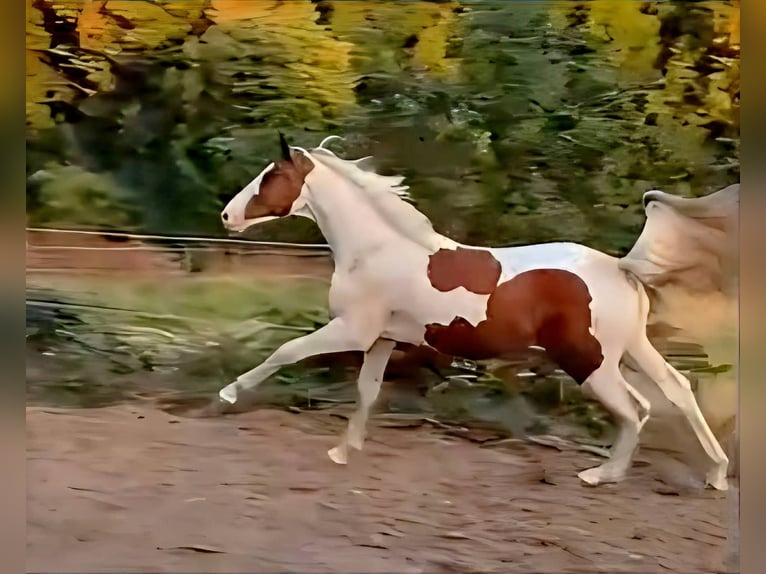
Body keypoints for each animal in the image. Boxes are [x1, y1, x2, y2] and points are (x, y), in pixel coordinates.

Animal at [218, 133, 738, 491]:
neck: (376, 249)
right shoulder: (382, 338)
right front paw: (344, 451)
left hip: (590, 361)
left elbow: (286, 351)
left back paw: (601, 475)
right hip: (630, 349)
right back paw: (715, 474)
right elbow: (367, 392)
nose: (226, 216)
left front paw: (227, 394)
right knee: (677, 391)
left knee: (636, 409)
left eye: (271, 176)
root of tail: (619, 267)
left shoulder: (351, 330)